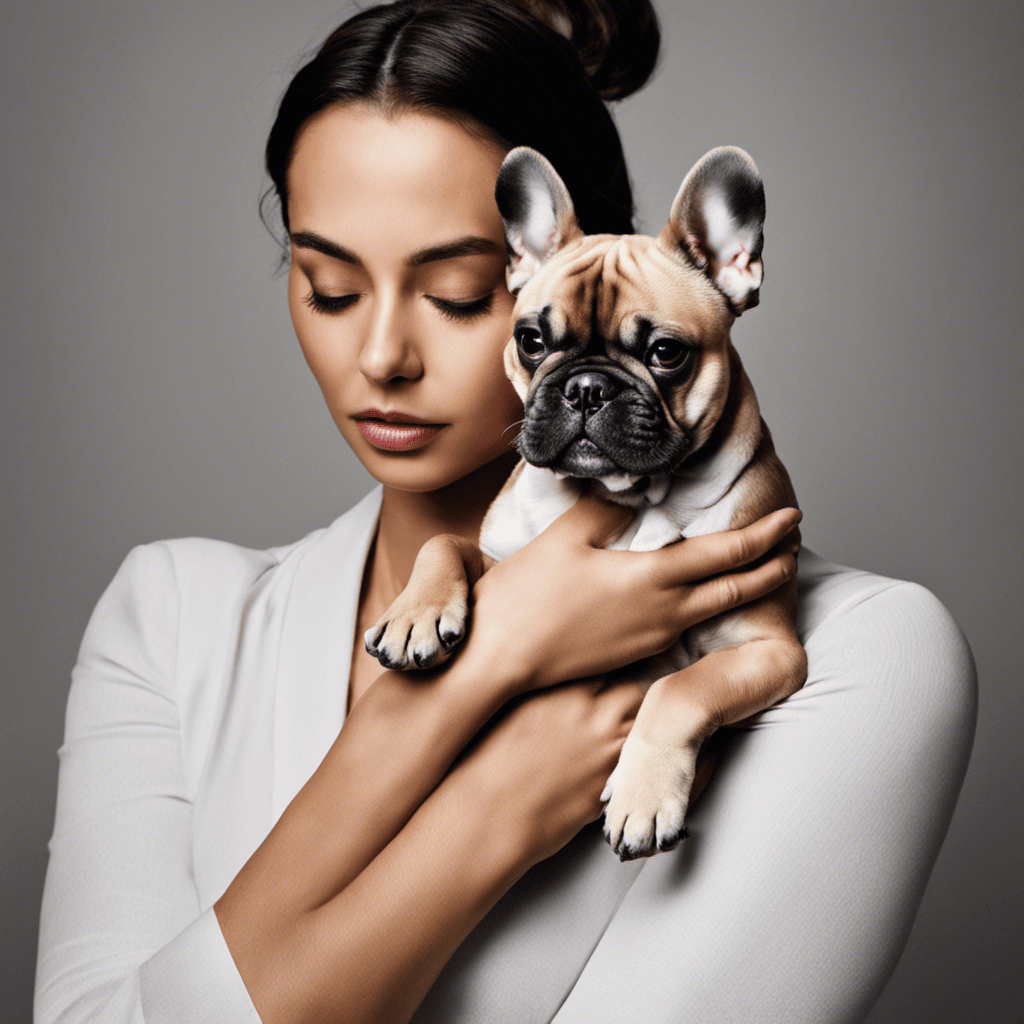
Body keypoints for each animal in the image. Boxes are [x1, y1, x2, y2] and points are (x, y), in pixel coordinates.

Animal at [366, 144, 806, 860]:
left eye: (666, 353)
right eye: (531, 341)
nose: (586, 388)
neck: (623, 498)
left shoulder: (769, 648)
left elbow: (680, 686)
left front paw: (643, 798)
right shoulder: (503, 556)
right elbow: (443, 542)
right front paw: (415, 614)